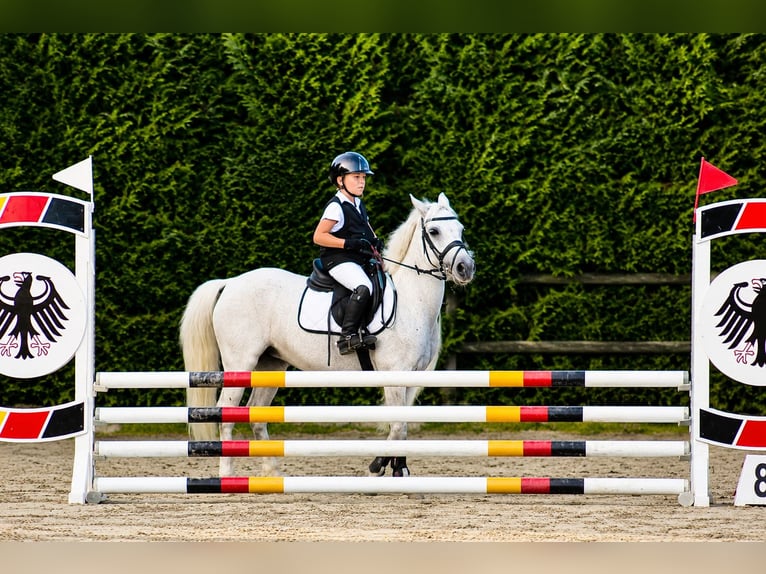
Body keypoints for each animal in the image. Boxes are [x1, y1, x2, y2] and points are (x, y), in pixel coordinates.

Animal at [180, 192, 475, 477]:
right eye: (434, 231)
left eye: (461, 229)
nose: (466, 268)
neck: (410, 302)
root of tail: (229, 283)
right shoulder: (395, 374)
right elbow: (398, 426)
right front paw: (379, 466)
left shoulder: (412, 378)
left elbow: (403, 427)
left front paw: (397, 468)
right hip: (240, 364)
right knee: (227, 414)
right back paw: (228, 475)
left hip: (271, 364)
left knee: (257, 415)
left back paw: (272, 472)